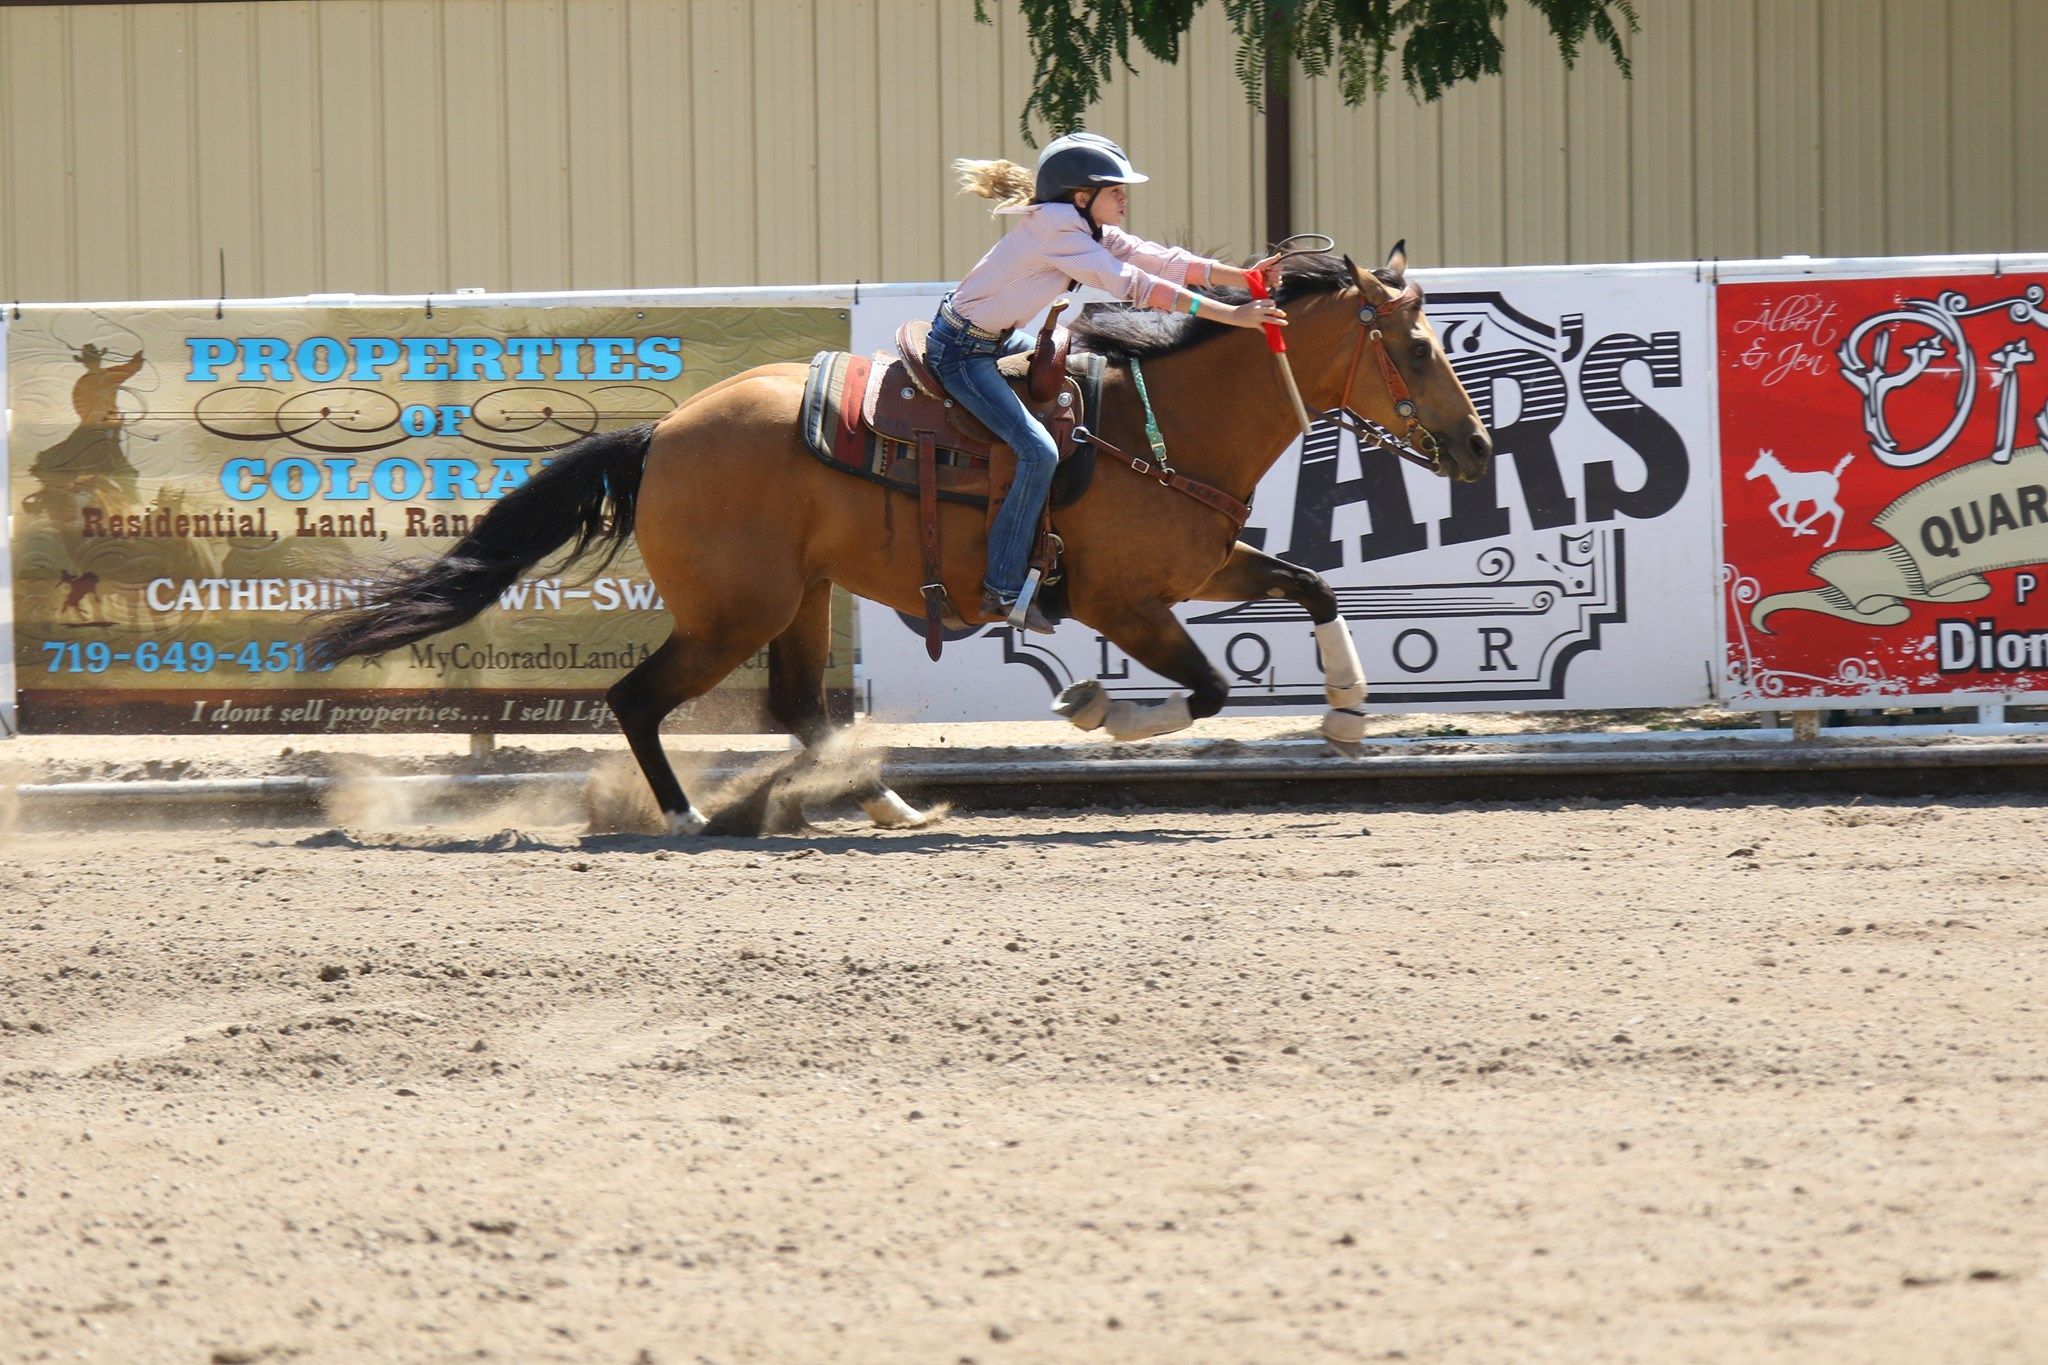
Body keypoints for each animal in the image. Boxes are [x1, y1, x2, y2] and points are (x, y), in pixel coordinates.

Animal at [307, 246, 1490, 839]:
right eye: (1415, 347)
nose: (1478, 448)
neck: (1157, 428)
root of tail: (664, 434)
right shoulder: (1123, 601)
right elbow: (1204, 691)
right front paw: (1095, 707)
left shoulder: (1202, 570)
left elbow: (1315, 588)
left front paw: (1345, 720)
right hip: (734, 612)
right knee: (638, 698)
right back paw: (689, 815)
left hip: (801, 599)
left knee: (797, 708)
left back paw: (882, 800)